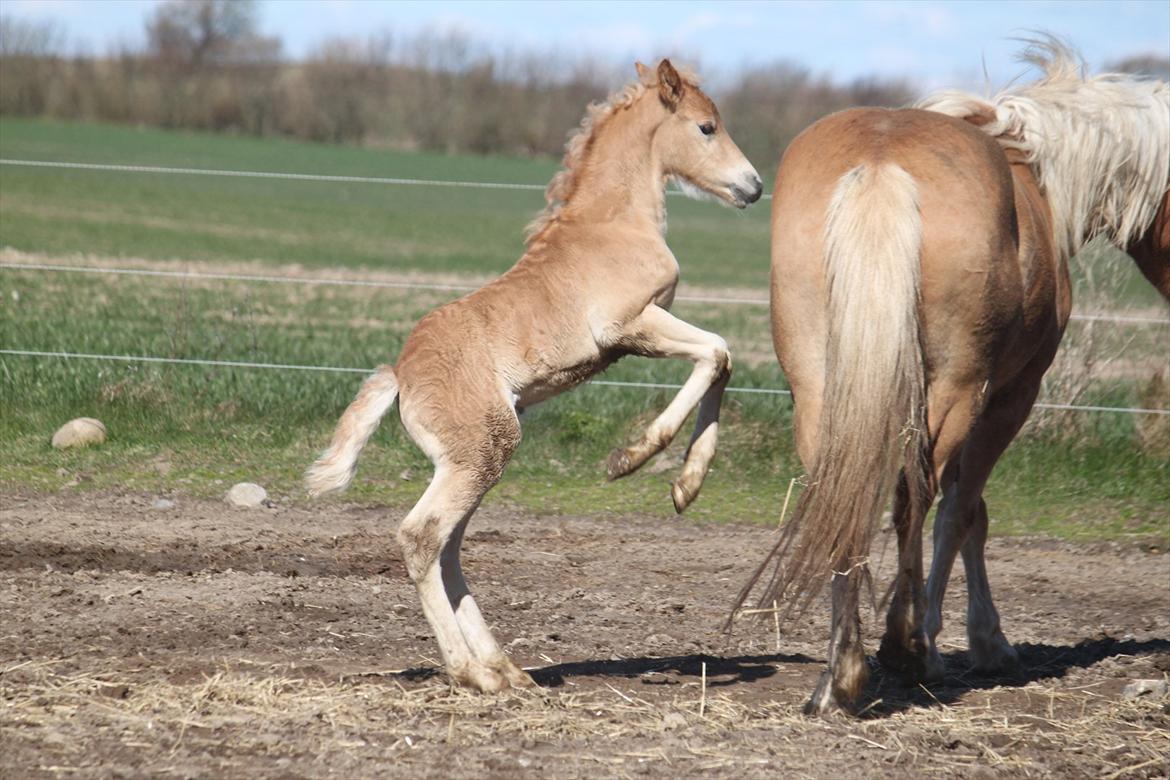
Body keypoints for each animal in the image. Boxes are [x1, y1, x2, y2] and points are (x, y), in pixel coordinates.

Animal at [306, 62, 762, 696]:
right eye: (706, 127)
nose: (754, 186)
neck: (613, 223)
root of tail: (401, 374)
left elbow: (722, 358)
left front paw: (684, 486)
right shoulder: (630, 325)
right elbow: (717, 353)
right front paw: (636, 459)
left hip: (474, 459)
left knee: (450, 548)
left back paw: (506, 669)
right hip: (482, 450)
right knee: (422, 537)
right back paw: (474, 673)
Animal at [739, 41, 1170, 715]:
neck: (1037, 171)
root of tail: (882, 163)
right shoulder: (1012, 395)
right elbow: (966, 510)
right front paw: (973, 640)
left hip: (818, 388)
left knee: (841, 492)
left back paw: (841, 675)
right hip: (956, 391)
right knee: (916, 495)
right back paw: (904, 646)